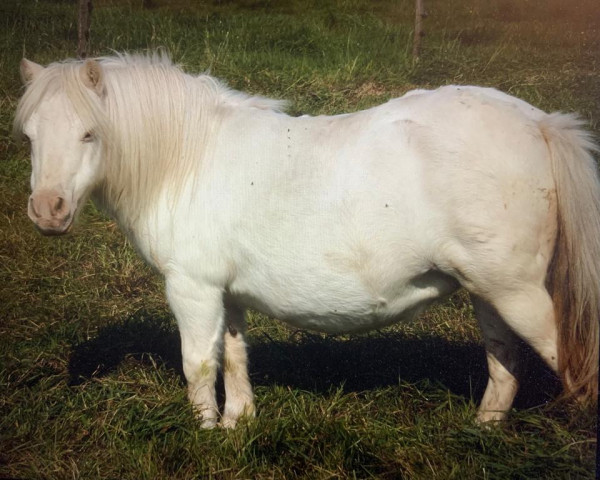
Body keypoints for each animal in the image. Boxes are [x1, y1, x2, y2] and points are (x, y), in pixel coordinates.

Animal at [15, 52, 600, 428]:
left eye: (90, 133)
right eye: (29, 136)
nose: (48, 211)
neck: (189, 159)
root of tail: (539, 123)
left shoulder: (193, 289)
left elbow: (198, 364)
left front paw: (203, 434)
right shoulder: (227, 293)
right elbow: (234, 355)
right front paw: (237, 425)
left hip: (517, 293)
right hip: (489, 291)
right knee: (504, 363)